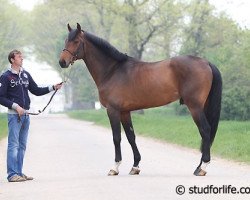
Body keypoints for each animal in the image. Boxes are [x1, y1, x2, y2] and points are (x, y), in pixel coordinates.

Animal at [59, 23, 223, 177]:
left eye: (76, 41)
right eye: (66, 40)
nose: (62, 62)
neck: (112, 71)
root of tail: (206, 62)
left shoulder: (113, 110)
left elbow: (116, 138)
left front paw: (115, 167)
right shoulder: (125, 112)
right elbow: (131, 137)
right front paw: (135, 166)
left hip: (195, 107)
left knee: (205, 130)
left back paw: (202, 167)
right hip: (203, 106)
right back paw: (198, 167)